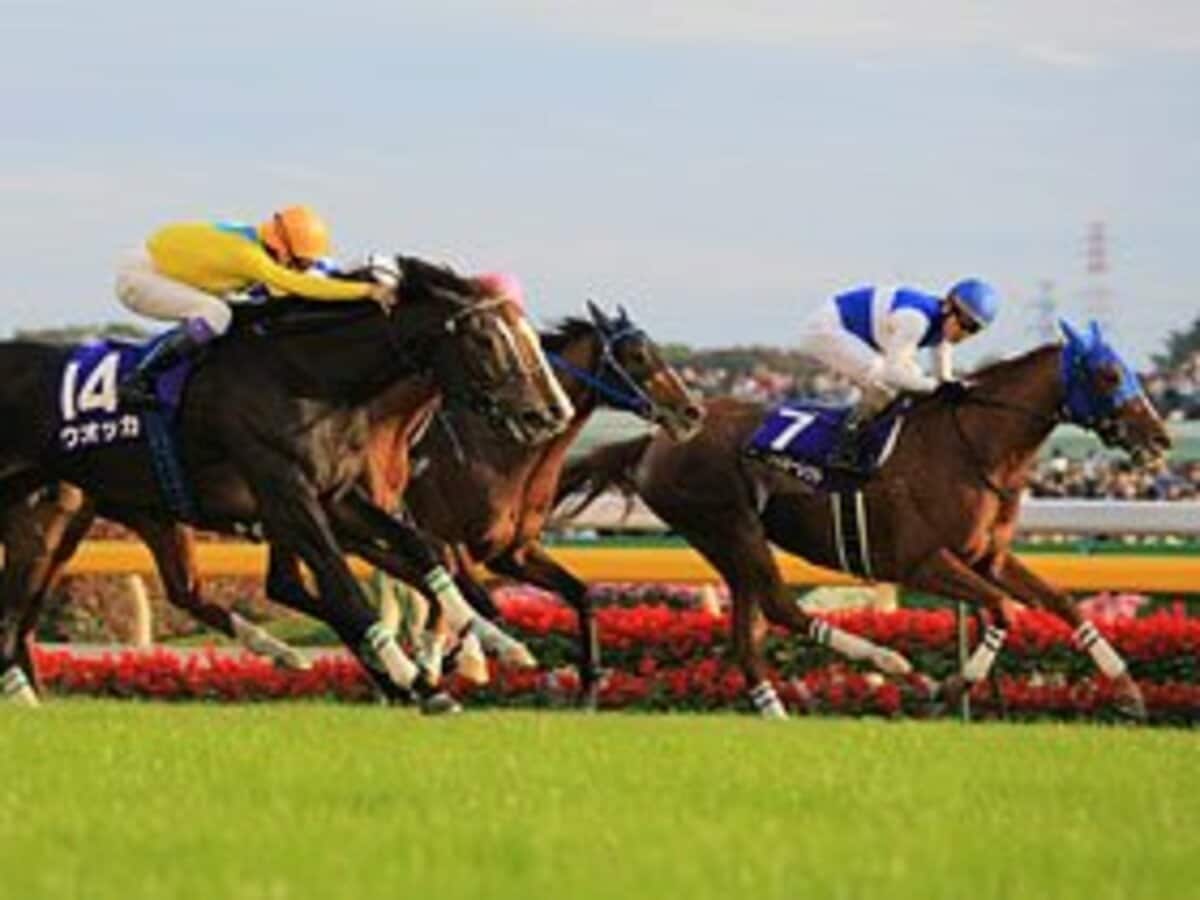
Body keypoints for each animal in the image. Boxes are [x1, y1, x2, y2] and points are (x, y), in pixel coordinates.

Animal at [0, 256, 572, 712]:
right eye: (487, 340)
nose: (547, 413)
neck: (308, 377)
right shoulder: (287, 492)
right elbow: (342, 583)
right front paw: (410, 672)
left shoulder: (336, 497)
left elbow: (423, 552)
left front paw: (490, 645)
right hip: (47, 521)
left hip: (91, 516)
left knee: (165, 592)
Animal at [402, 302, 704, 705]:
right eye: (638, 355)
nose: (691, 412)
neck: (497, 450)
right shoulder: (447, 542)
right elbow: (485, 609)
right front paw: (458, 664)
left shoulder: (513, 552)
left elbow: (582, 594)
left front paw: (589, 688)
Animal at [556, 321, 1171, 720]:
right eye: (1108, 374)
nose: (1160, 437)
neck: (972, 446)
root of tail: (656, 439)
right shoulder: (920, 561)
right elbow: (1004, 609)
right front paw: (952, 685)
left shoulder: (986, 556)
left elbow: (1061, 601)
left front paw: (1129, 691)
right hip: (730, 527)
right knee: (780, 608)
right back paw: (897, 665)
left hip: (727, 542)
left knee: (749, 640)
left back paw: (781, 713)